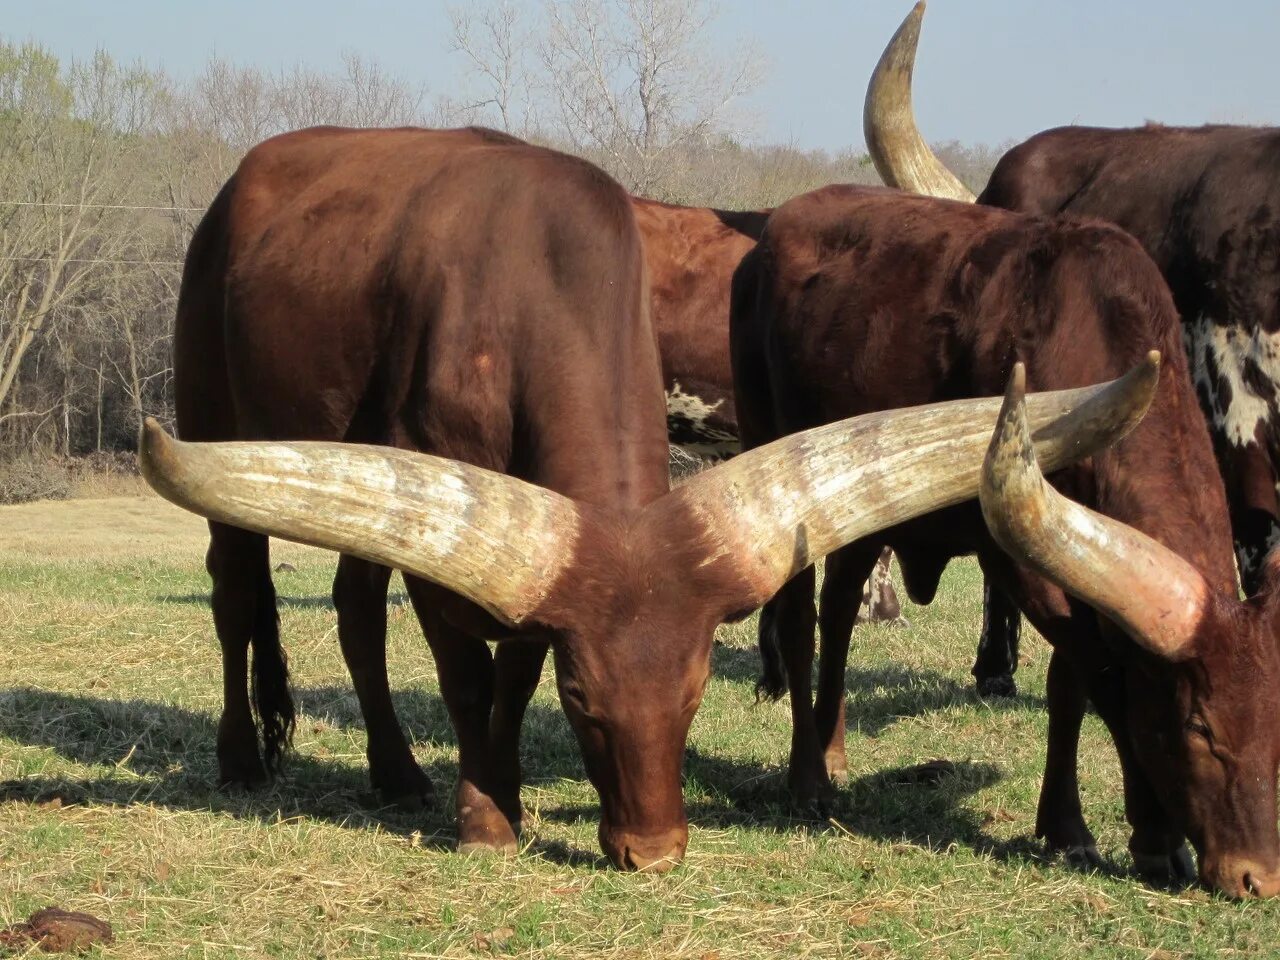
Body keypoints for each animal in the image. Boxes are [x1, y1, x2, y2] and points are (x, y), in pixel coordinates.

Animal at [149, 124, 1141, 870]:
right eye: (585, 702)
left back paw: (396, 772)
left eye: (696, 691)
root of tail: (243, 179)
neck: (531, 277)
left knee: (355, 608)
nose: (655, 850)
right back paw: (241, 757)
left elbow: (512, 672)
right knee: (236, 591)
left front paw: (503, 792)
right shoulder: (450, 530)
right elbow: (468, 676)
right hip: (217, 412)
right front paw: (485, 819)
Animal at [737, 181, 1280, 901]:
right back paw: (809, 780)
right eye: (1199, 726)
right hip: (781, 462)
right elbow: (1101, 676)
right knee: (801, 621)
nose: (1258, 876)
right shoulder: (1018, 563)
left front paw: (1067, 826)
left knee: (842, 609)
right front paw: (1154, 836)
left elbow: (1068, 683)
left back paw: (833, 747)